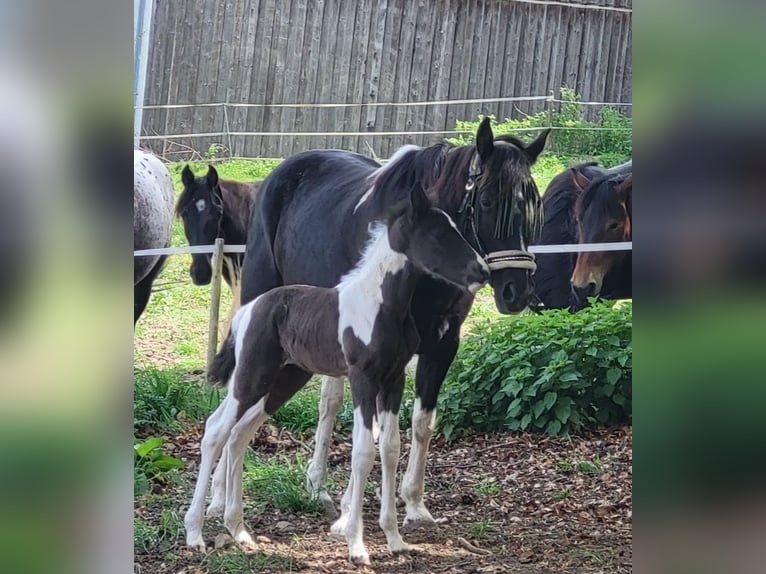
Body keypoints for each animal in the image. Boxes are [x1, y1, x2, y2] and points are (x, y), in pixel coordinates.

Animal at [183, 182, 488, 564]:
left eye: (456, 228)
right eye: (437, 234)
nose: (482, 272)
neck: (383, 305)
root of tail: (247, 312)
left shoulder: (393, 380)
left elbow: (390, 448)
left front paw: (395, 539)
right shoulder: (362, 379)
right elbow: (363, 451)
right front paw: (357, 545)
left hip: (284, 380)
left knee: (239, 434)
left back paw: (239, 531)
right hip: (251, 377)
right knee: (216, 430)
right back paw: (195, 533)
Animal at [202, 118, 552, 536]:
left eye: (535, 207)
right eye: (485, 202)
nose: (517, 291)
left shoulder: (440, 344)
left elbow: (419, 424)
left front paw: (413, 504)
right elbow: (370, 432)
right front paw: (351, 515)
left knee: (325, 402)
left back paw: (317, 486)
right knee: (236, 404)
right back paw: (219, 499)